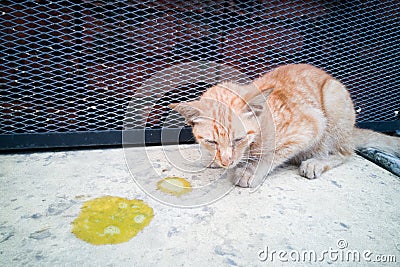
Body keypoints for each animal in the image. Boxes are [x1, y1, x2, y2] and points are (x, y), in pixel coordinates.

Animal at [170, 63, 400, 187]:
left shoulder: (312, 124)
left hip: (333, 100)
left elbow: (272, 154)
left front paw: (251, 171)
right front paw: (216, 160)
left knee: (345, 152)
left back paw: (316, 162)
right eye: (212, 142)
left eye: (239, 139)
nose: (226, 161)